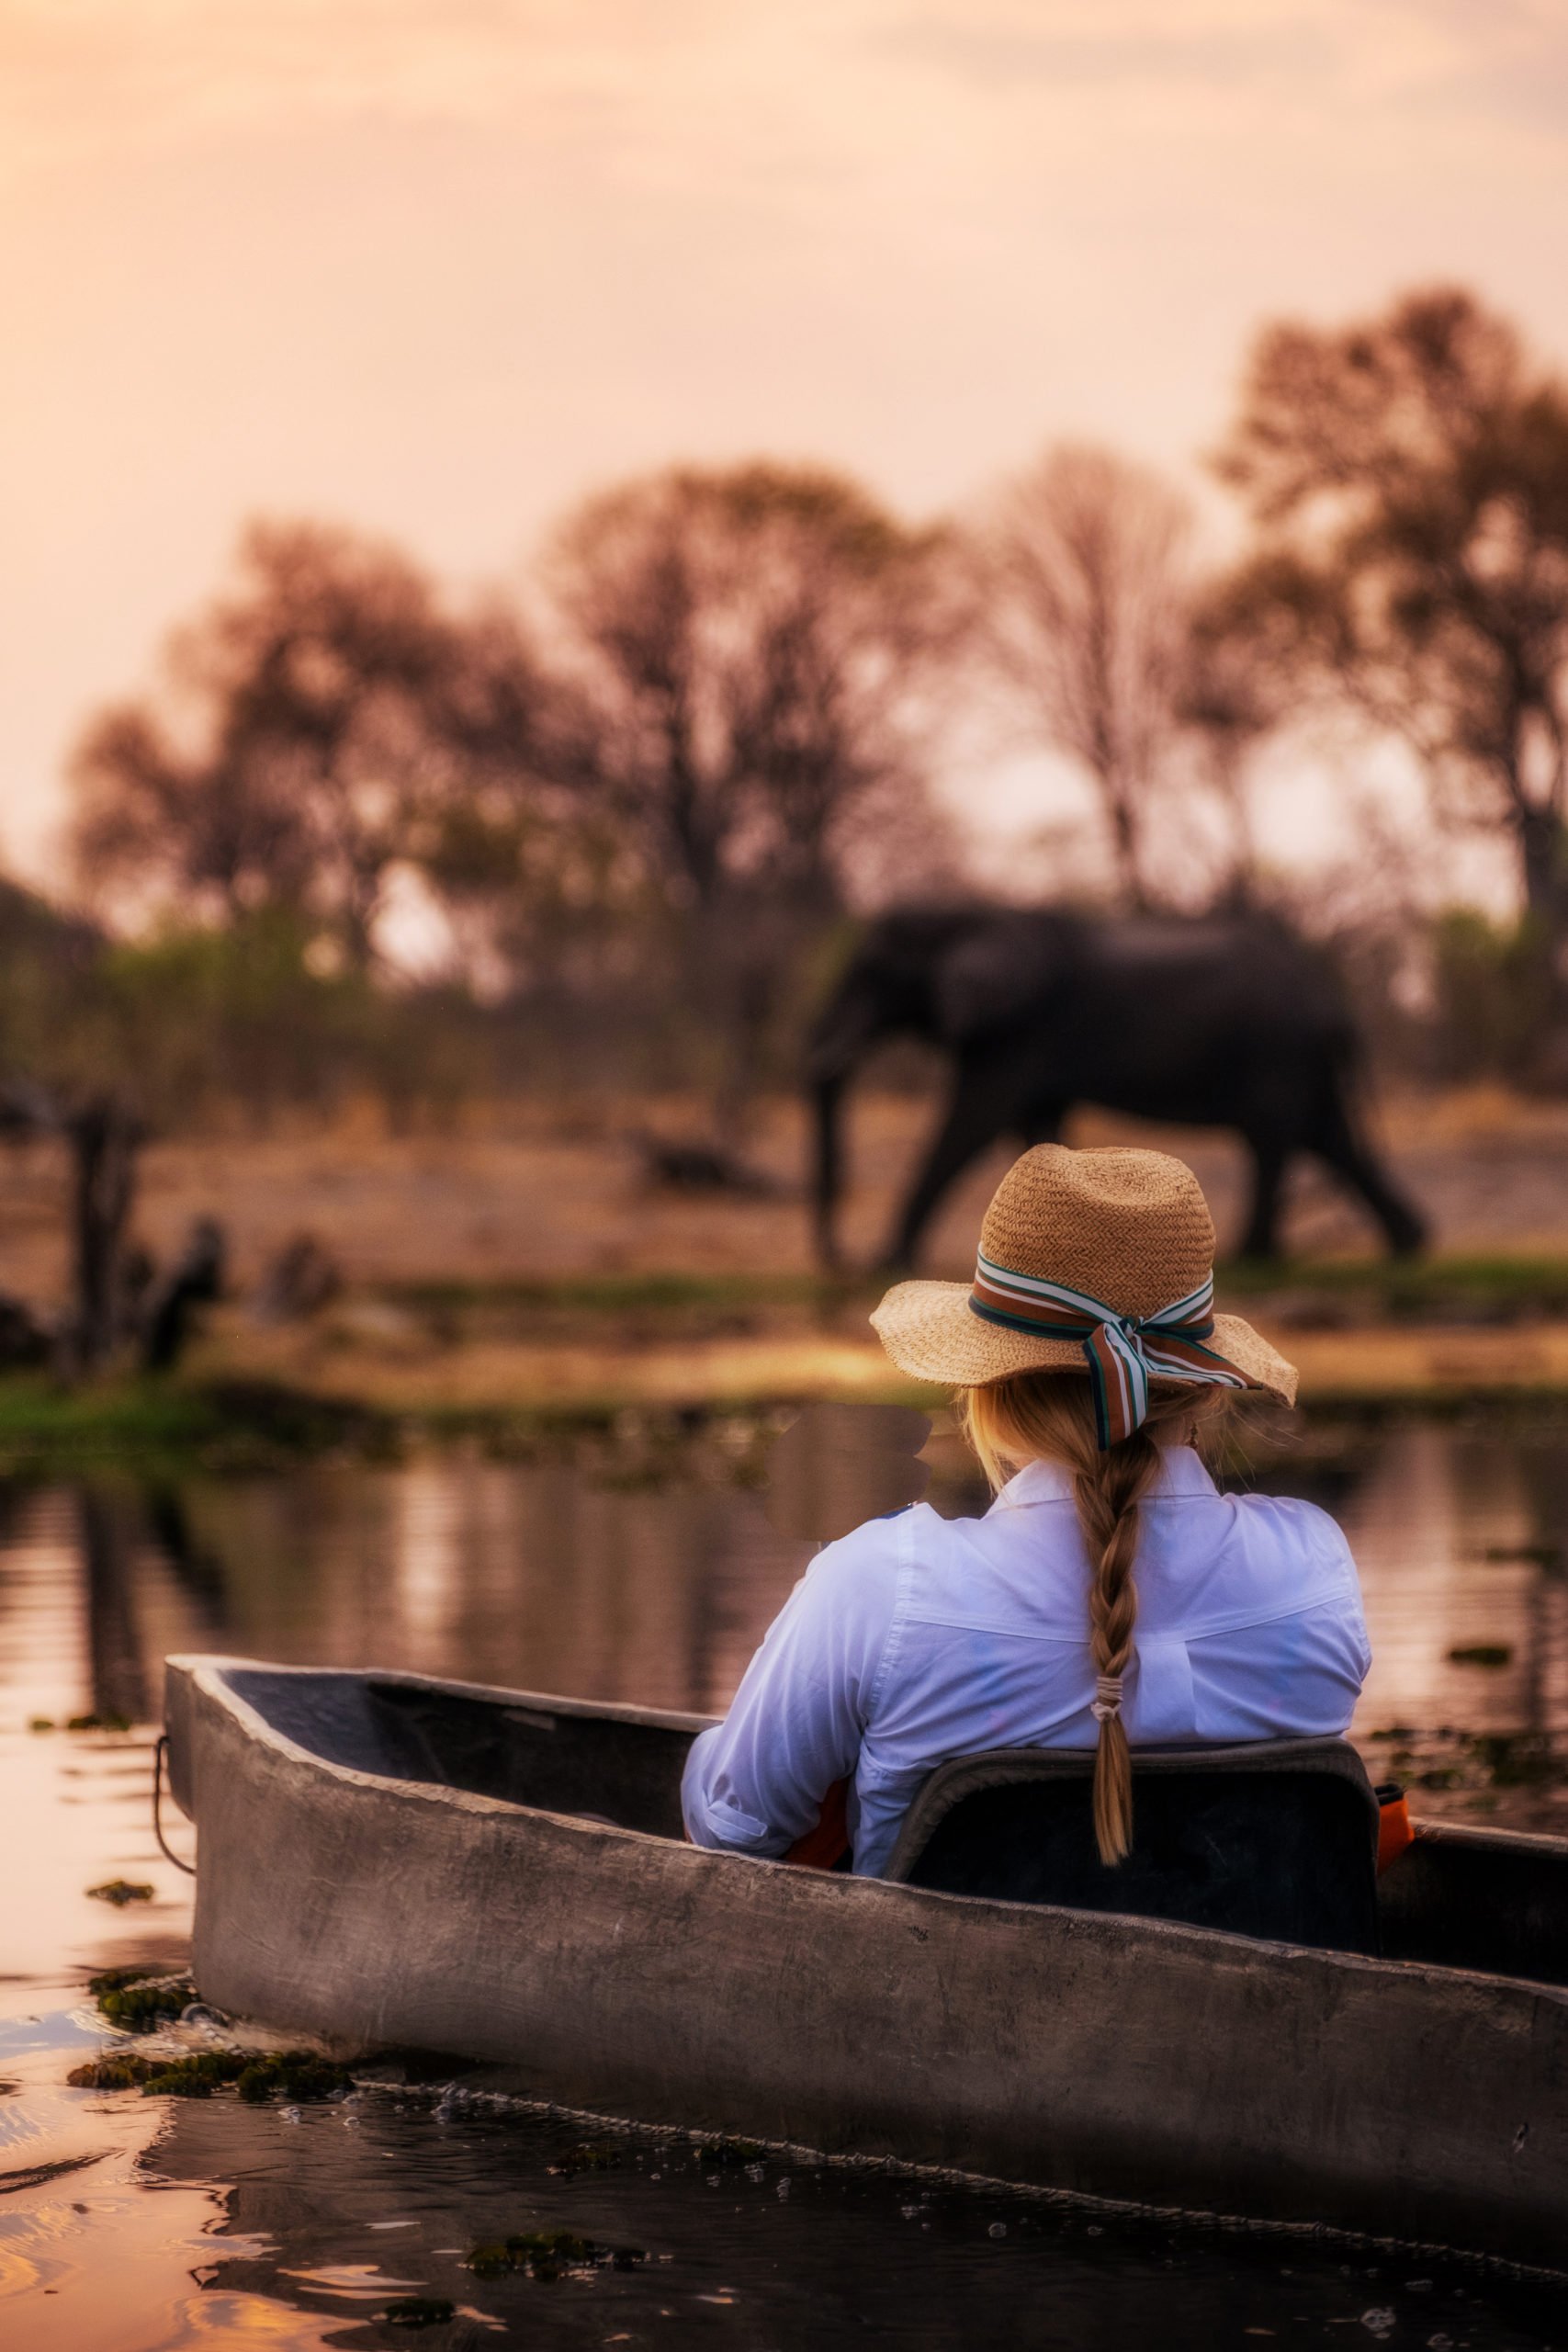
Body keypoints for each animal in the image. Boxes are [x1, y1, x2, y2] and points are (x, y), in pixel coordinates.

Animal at [808, 898, 1438, 1270]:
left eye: (872, 974)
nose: (845, 1261)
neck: (969, 908)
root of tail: (1333, 999)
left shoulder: (1018, 1030)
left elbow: (971, 1120)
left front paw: (890, 1262)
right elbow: (1035, 1127)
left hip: (1277, 1051)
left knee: (1275, 1142)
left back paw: (1251, 1258)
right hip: (1301, 1060)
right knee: (1330, 1138)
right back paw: (1408, 1245)